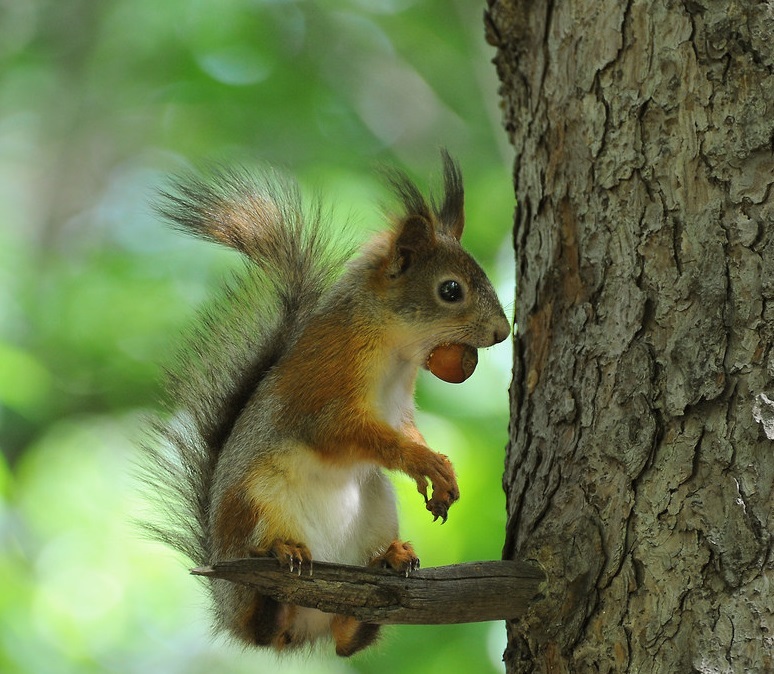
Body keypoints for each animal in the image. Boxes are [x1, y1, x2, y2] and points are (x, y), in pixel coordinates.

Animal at [142, 150, 512, 652]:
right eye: (451, 290)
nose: (503, 332)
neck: (395, 348)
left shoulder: (400, 406)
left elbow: (406, 427)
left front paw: (442, 473)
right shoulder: (327, 389)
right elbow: (349, 432)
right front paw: (424, 462)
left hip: (376, 504)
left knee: (345, 638)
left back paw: (389, 560)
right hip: (255, 501)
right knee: (264, 608)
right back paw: (281, 558)